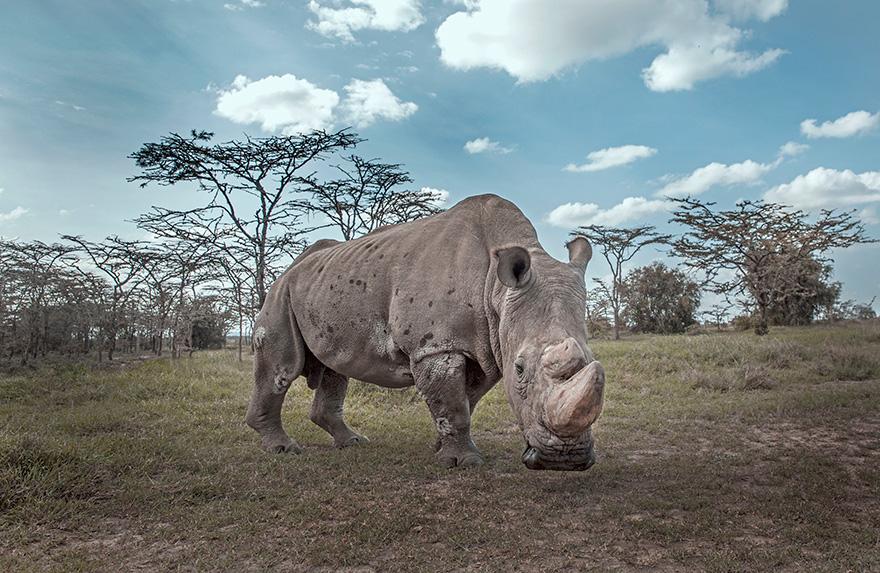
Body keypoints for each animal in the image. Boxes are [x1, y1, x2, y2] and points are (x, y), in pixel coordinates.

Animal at [246, 194, 606, 470]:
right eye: (519, 369)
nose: (565, 460)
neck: (496, 288)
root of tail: (291, 269)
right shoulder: (436, 347)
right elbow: (453, 405)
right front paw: (464, 462)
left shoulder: (486, 346)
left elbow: (465, 400)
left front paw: (440, 447)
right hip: (281, 293)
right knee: (282, 368)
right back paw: (284, 449)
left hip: (324, 288)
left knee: (335, 370)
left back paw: (353, 442)